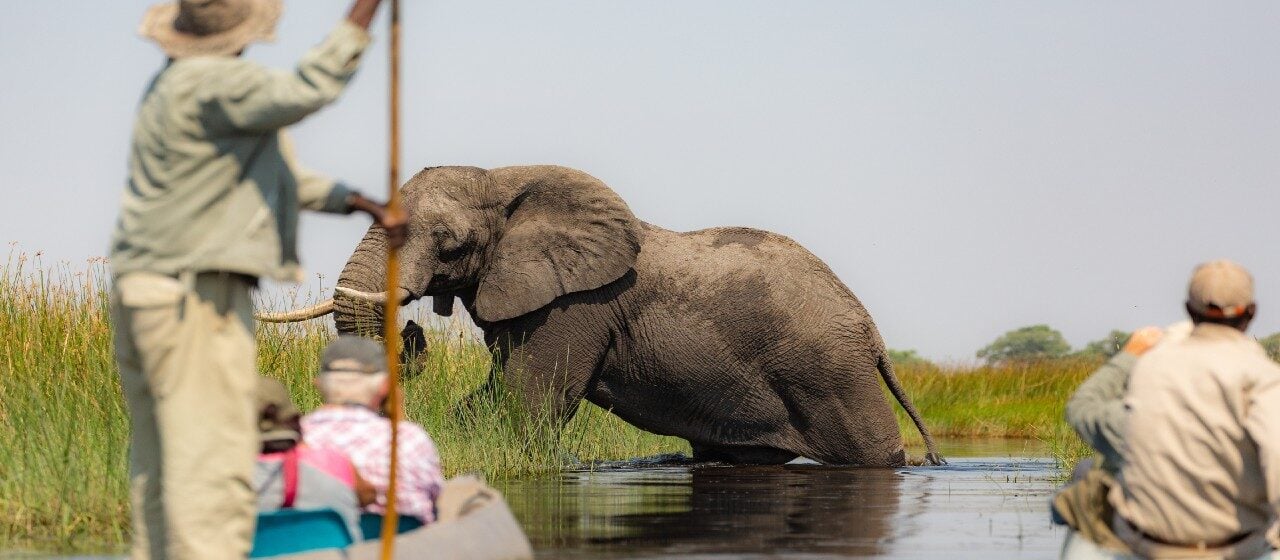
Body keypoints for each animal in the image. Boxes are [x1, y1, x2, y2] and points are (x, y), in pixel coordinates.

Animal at [259, 163, 942, 465]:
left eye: (448, 243)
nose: (414, 329)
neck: (504, 178)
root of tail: (872, 332)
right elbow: (492, 397)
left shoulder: (574, 307)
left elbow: (531, 403)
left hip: (829, 374)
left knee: (873, 455)